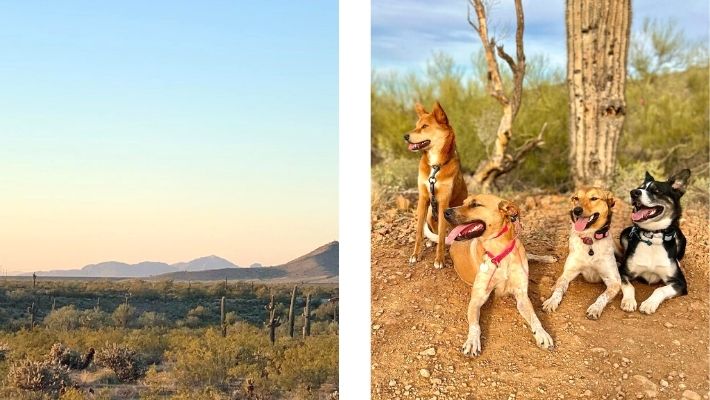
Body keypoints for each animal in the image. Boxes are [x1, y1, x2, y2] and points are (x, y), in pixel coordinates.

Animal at [406, 100, 468, 268]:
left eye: (425, 126)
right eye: (416, 125)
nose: (405, 136)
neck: (435, 166)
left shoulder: (443, 201)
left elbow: (441, 236)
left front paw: (439, 259)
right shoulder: (423, 199)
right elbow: (419, 232)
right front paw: (415, 255)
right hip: (429, 212)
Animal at [444, 195, 556, 356]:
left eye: (475, 204)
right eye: (463, 202)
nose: (445, 212)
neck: (500, 253)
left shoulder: (522, 296)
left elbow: (535, 318)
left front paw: (542, 334)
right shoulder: (477, 298)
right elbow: (475, 324)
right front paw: (472, 341)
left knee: (530, 255)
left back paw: (547, 258)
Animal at [544, 187, 624, 318]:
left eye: (594, 198)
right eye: (576, 198)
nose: (577, 210)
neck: (589, 239)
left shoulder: (614, 281)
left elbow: (603, 296)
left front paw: (595, 308)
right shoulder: (567, 274)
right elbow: (559, 289)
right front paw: (551, 301)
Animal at [620, 167, 692, 314]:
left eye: (656, 191)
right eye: (640, 187)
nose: (633, 192)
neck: (653, 238)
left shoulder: (680, 283)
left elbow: (660, 290)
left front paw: (649, 304)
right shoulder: (622, 272)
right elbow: (629, 286)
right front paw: (629, 301)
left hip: (681, 239)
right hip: (624, 234)